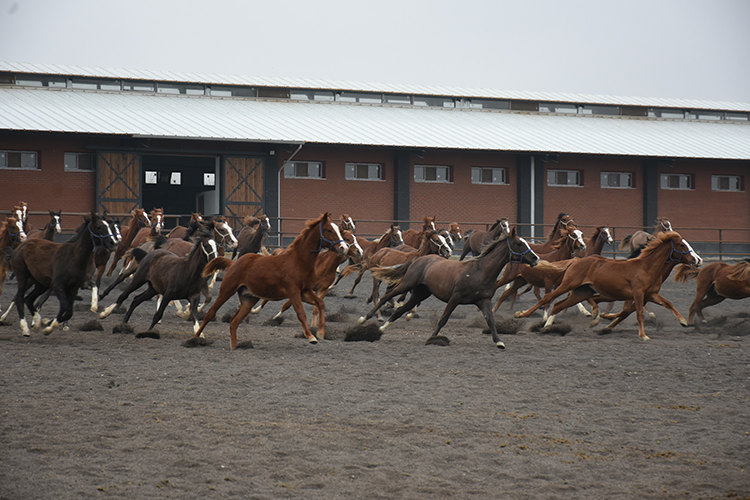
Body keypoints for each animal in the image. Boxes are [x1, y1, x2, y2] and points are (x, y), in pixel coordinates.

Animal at [191, 211, 350, 348]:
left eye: (338, 229)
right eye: (329, 230)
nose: (344, 247)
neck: (298, 261)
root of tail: (234, 263)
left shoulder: (305, 291)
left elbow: (320, 304)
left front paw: (321, 332)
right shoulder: (293, 291)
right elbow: (300, 313)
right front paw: (311, 337)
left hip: (249, 299)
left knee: (234, 321)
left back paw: (234, 346)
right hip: (226, 290)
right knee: (211, 313)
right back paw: (194, 338)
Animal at [358, 227, 540, 348]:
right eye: (519, 243)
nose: (535, 258)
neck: (479, 271)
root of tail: (418, 259)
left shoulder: (484, 301)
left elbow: (491, 320)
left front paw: (499, 341)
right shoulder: (455, 298)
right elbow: (443, 319)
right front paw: (431, 338)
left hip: (420, 293)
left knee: (400, 310)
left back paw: (382, 329)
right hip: (406, 284)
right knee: (386, 296)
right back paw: (365, 318)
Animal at [516, 230, 704, 340]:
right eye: (681, 245)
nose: (698, 260)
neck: (647, 267)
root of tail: (576, 260)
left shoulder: (651, 294)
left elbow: (668, 303)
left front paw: (683, 321)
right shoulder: (638, 294)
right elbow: (639, 314)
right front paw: (643, 335)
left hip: (581, 292)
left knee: (558, 305)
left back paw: (547, 327)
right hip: (568, 285)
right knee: (547, 299)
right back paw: (522, 315)